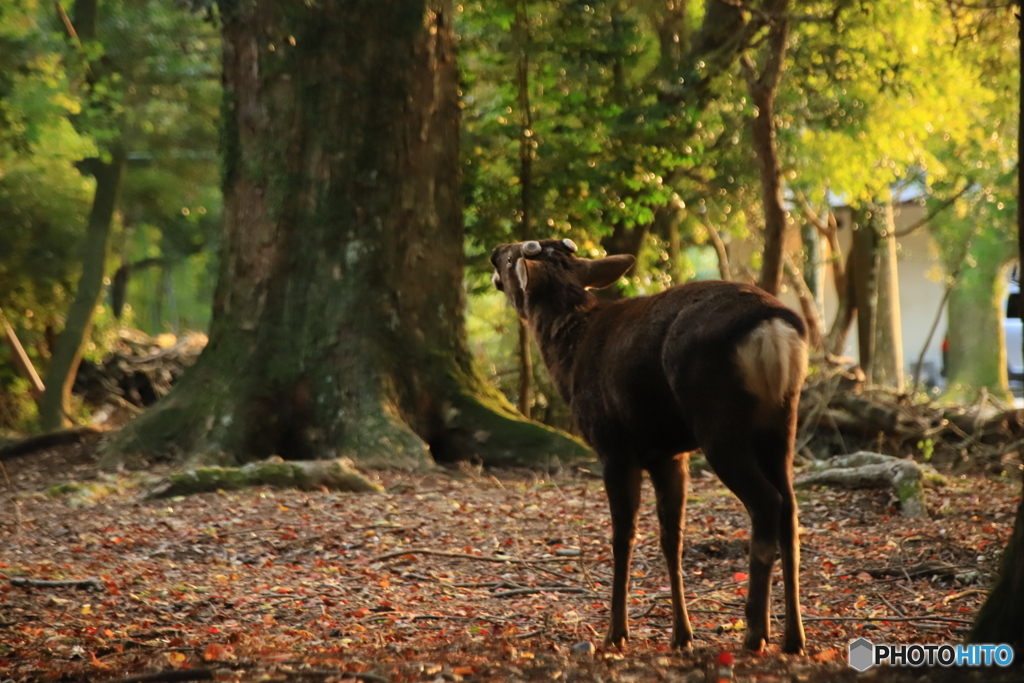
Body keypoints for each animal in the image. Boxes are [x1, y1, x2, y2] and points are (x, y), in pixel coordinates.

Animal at [491, 237, 802, 655]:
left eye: (511, 258)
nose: (493, 252)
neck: (568, 356)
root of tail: (774, 326)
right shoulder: (668, 454)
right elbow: (672, 540)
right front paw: (682, 635)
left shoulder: (614, 447)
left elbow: (622, 537)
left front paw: (616, 633)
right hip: (781, 422)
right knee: (790, 511)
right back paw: (793, 638)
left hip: (718, 421)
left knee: (767, 502)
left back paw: (755, 633)